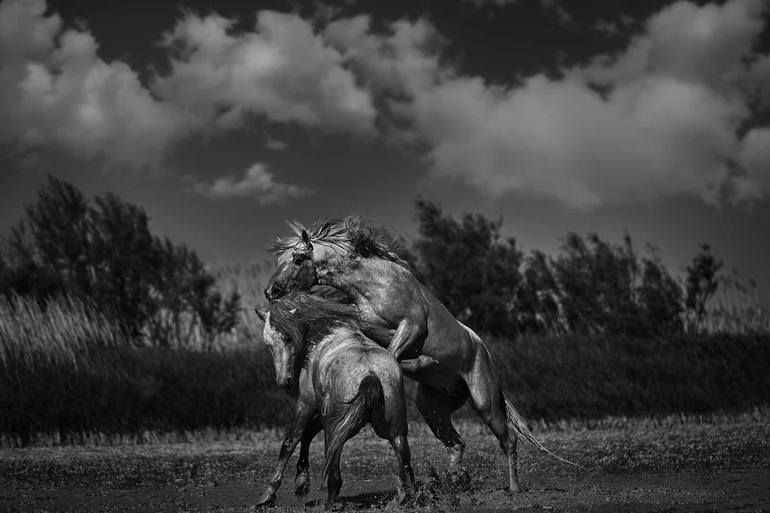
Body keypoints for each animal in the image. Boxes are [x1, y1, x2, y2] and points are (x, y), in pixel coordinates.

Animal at [254, 290, 412, 510]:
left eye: (288, 337)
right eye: (268, 344)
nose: (284, 380)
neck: (325, 333)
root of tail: (370, 373)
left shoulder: (306, 403)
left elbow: (291, 441)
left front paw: (269, 495)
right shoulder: (324, 412)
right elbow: (307, 435)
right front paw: (301, 481)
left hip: (336, 427)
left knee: (334, 472)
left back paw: (328, 504)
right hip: (392, 430)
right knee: (405, 463)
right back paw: (406, 497)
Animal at [262, 218, 576, 490]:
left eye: (298, 258)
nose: (270, 291)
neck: (376, 284)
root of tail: (482, 351)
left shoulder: (410, 327)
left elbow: (391, 352)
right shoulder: (363, 319)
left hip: (485, 402)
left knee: (508, 441)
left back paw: (513, 488)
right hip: (433, 408)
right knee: (457, 444)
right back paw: (454, 480)